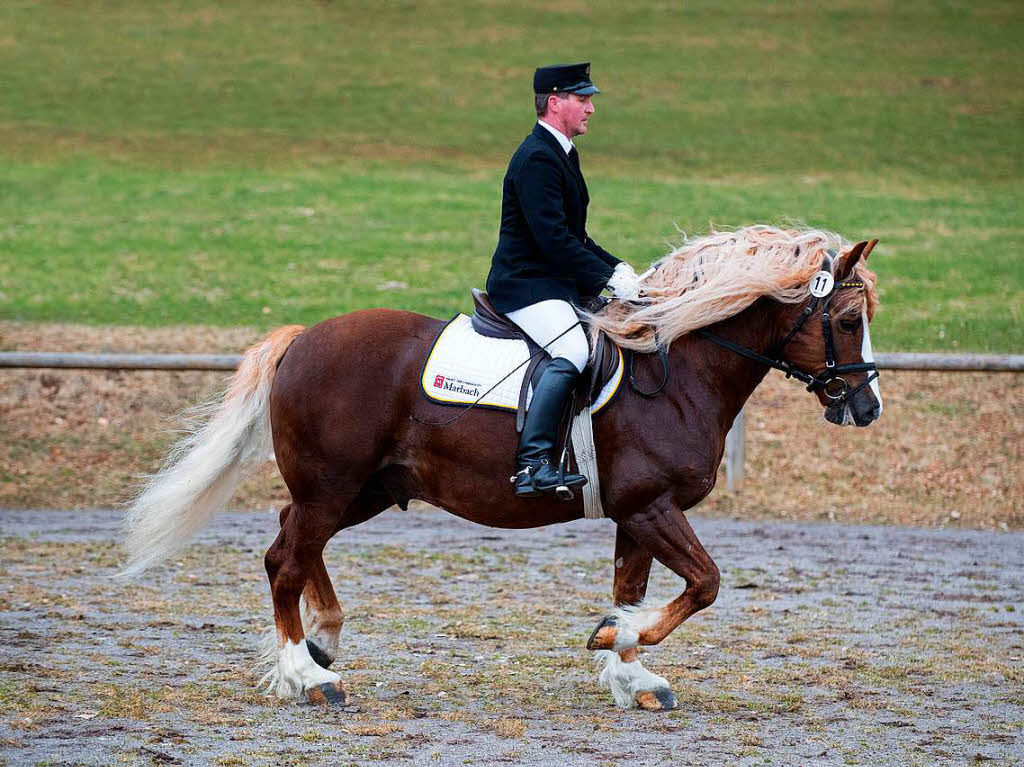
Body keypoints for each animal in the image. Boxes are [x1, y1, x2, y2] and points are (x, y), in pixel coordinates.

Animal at [121, 224, 880, 708]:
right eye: (847, 320)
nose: (867, 406)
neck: (676, 370)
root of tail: (304, 337)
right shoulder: (650, 506)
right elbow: (704, 584)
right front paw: (616, 642)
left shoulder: (635, 514)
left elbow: (633, 590)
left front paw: (630, 673)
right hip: (333, 486)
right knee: (285, 561)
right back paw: (308, 675)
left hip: (361, 489)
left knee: (294, 543)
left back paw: (322, 643)